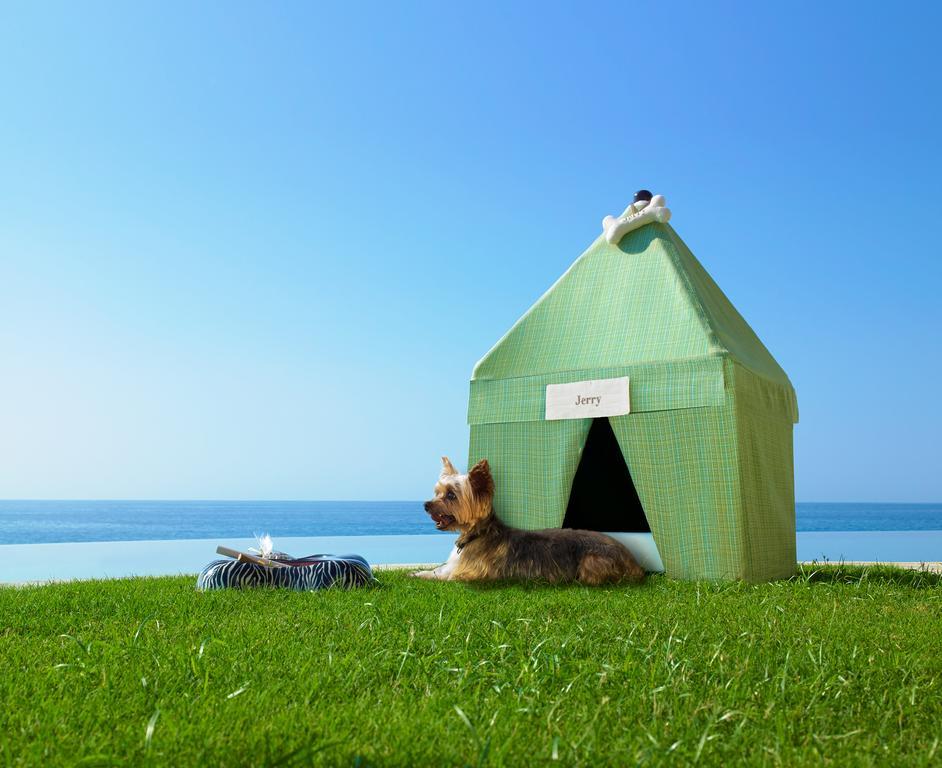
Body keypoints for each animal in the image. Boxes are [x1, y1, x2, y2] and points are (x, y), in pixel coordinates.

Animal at [414, 456, 648, 584]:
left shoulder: (467, 574)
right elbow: (438, 570)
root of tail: (634, 561)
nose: (426, 505)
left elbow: (445, 576)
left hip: (591, 562)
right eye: (437, 492)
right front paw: (420, 572)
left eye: (451, 495)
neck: (477, 533)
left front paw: (422, 575)